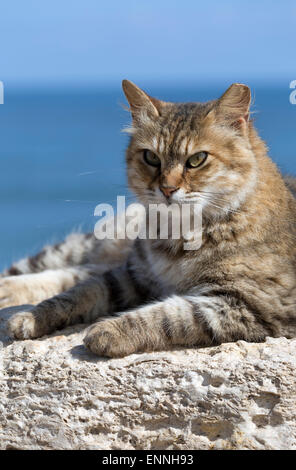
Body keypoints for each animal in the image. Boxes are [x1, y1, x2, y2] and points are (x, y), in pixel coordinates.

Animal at [1, 81, 296, 358]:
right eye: (151, 157)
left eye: (197, 159)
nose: (167, 189)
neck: (180, 236)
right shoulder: (132, 276)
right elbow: (79, 292)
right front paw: (31, 317)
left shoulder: (248, 304)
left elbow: (169, 315)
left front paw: (109, 331)